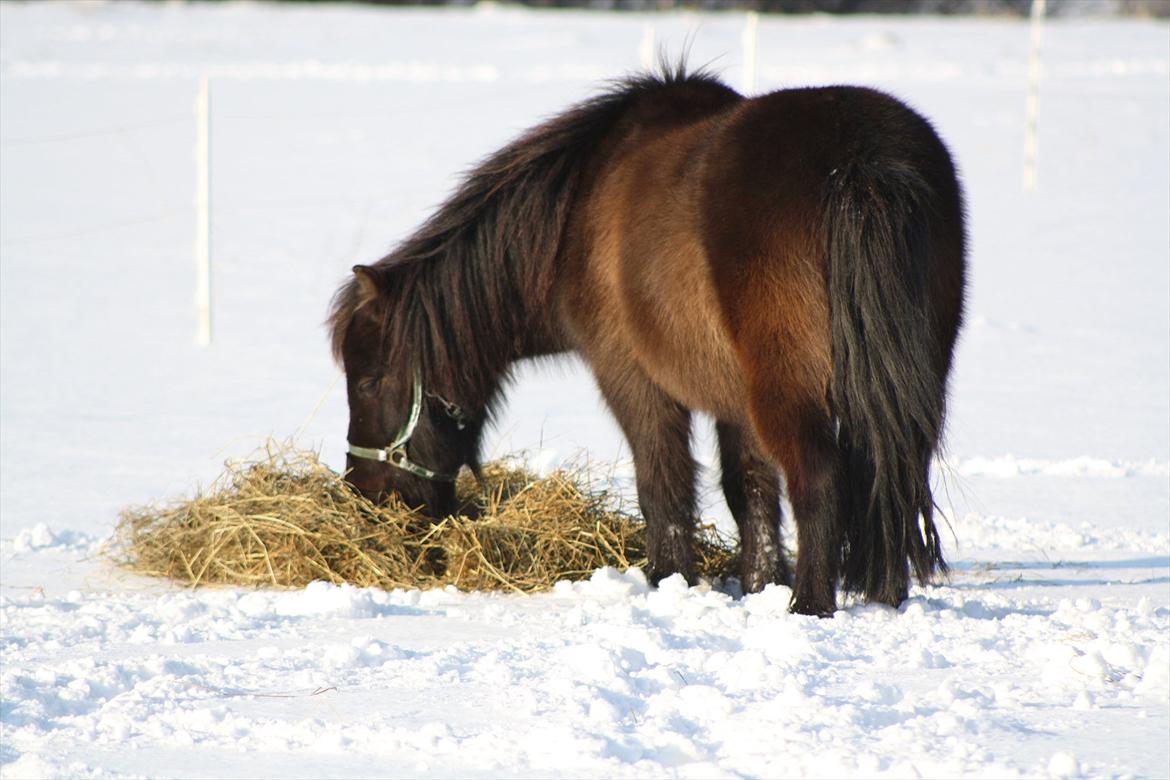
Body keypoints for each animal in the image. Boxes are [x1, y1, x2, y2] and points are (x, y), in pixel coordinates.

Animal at [332, 65, 968, 617]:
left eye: (368, 380)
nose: (365, 495)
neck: (575, 215)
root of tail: (857, 155)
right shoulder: (733, 399)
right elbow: (749, 489)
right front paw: (758, 583)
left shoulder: (631, 376)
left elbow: (663, 483)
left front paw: (670, 579)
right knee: (893, 477)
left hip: (787, 388)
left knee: (820, 479)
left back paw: (810, 606)